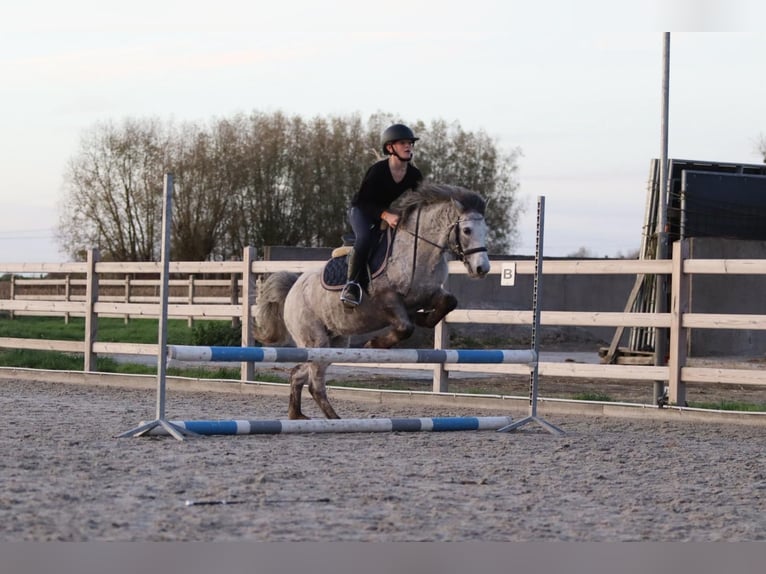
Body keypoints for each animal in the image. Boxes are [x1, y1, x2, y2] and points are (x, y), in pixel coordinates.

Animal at [253, 182, 492, 419]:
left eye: (485, 231)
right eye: (467, 230)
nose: (482, 268)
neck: (417, 251)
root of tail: (293, 288)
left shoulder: (429, 293)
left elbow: (448, 302)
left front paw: (423, 318)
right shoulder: (386, 299)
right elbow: (405, 327)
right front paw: (376, 343)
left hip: (334, 342)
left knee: (298, 374)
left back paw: (298, 415)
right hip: (315, 340)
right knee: (315, 384)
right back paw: (335, 420)